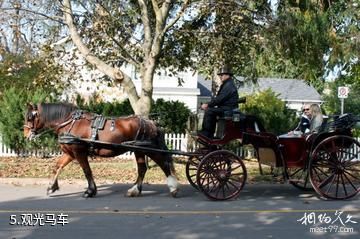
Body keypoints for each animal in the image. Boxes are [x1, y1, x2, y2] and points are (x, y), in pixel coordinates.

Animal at [23, 102, 179, 198]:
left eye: (30, 117)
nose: (25, 135)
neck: (70, 123)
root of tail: (151, 123)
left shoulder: (79, 152)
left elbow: (87, 171)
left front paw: (90, 191)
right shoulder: (69, 153)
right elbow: (57, 166)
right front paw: (51, 187)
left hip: (148, 149)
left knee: (163, 164)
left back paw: (173, 188)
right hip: (138, 150)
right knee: (142, 169)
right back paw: (134, 190)